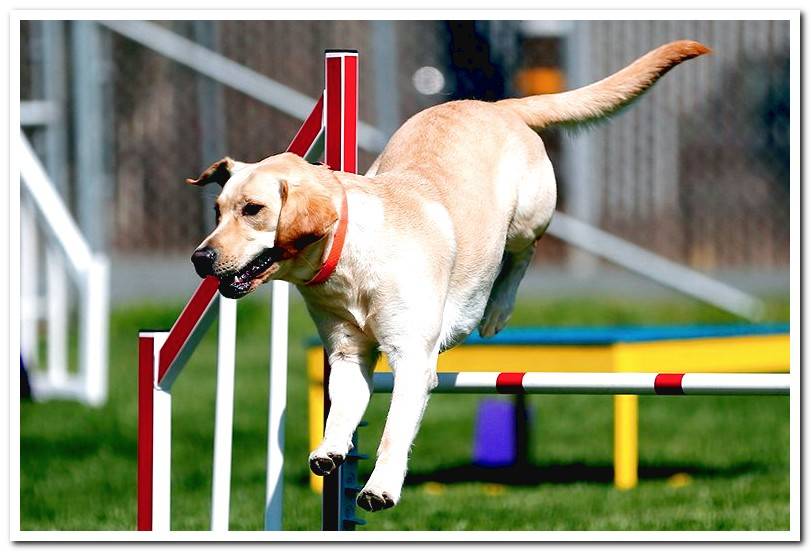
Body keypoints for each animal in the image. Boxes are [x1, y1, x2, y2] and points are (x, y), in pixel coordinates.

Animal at [187, 40, 708, 512]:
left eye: (253, 210)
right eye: (217, 211)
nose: (200, 258)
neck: (348, 256)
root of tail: (494, 106)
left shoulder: (413, 360)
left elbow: (394, 430)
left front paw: (380, 488)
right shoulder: (348, 353)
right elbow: (341, 411)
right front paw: (330, 450)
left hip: (528, 216)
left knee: (524, 253)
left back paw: (497, 310)